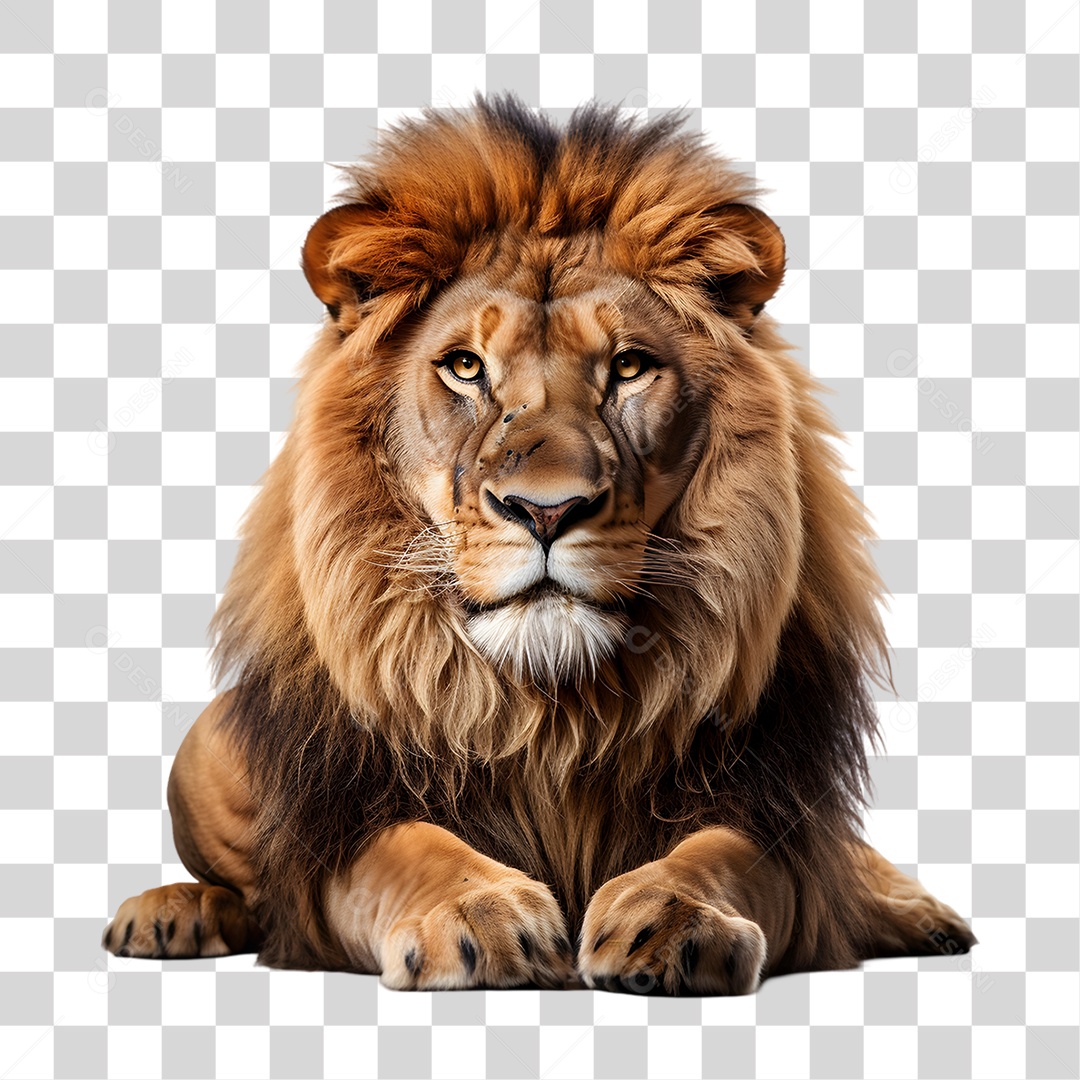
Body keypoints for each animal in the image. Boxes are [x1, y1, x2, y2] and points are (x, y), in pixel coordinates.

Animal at [104, 97, 974, 993]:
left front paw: (674, 917)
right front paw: (478, 913)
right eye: (464, 367)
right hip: (203, 757)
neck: (552, 713)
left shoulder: (769, 808)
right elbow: (410, 849)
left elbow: (723, 855)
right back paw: (169, 912)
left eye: (629, 367)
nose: (546, 509)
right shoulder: (341, 826)